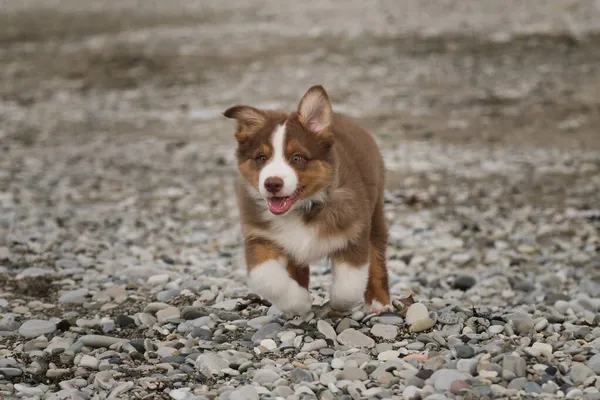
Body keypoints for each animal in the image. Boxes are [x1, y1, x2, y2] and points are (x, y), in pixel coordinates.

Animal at [223, 86, 392, 318]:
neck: (301, 210)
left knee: (377, 256)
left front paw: (337, 304)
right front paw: (298, 302)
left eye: (297, 158)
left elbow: (348, 286)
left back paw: (379, 303)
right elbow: (266, 277)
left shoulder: (355, 230)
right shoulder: (259, 236)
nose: (272, 183)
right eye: (261, 158)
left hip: (375, 213)